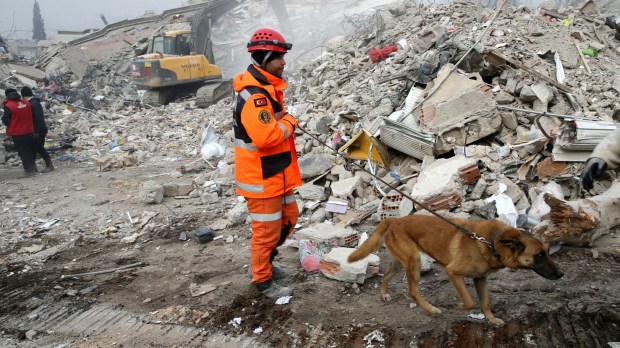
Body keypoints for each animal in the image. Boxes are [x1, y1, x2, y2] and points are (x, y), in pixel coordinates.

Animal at [348, 213, 560, 324]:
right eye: (539, 255)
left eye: (547, 252)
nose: (561, 273)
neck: (492, 242)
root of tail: (394, 220)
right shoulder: (452, 272)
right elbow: (470, 302)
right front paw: (457, 306)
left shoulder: (480, 278)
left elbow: (485, 302)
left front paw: (491, 319)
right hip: (413, 261)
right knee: (412, 291)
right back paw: (431, 309)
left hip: (401, 262)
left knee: (385, 277)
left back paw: (384, 294)